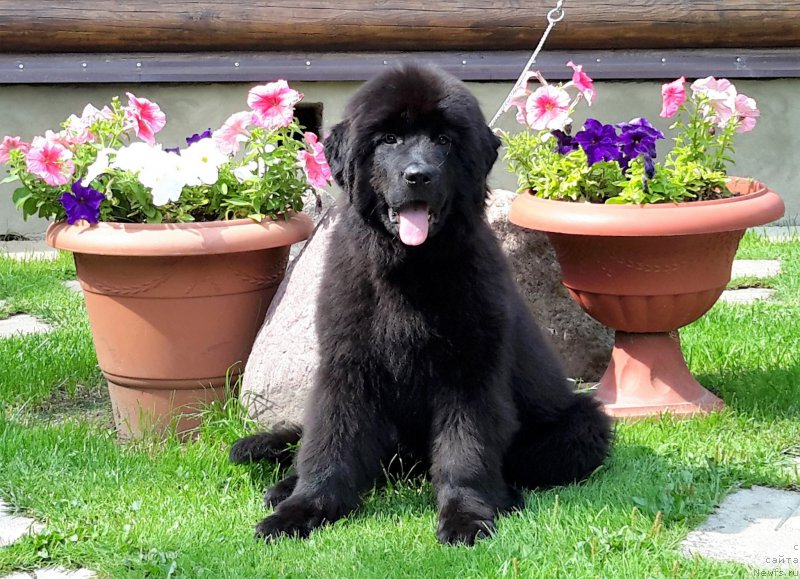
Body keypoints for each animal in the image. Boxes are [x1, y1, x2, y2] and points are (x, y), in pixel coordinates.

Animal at [231, 64, 612, 548]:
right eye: (389, 139)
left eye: (444, 140)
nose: (418, 175)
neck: (407, 273)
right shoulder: (346, 366)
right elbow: (330, 442)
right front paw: (302, 509)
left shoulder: (469, 372)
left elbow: (465, 451)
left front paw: (466, 516)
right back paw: (285, 485)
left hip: (583, 426)